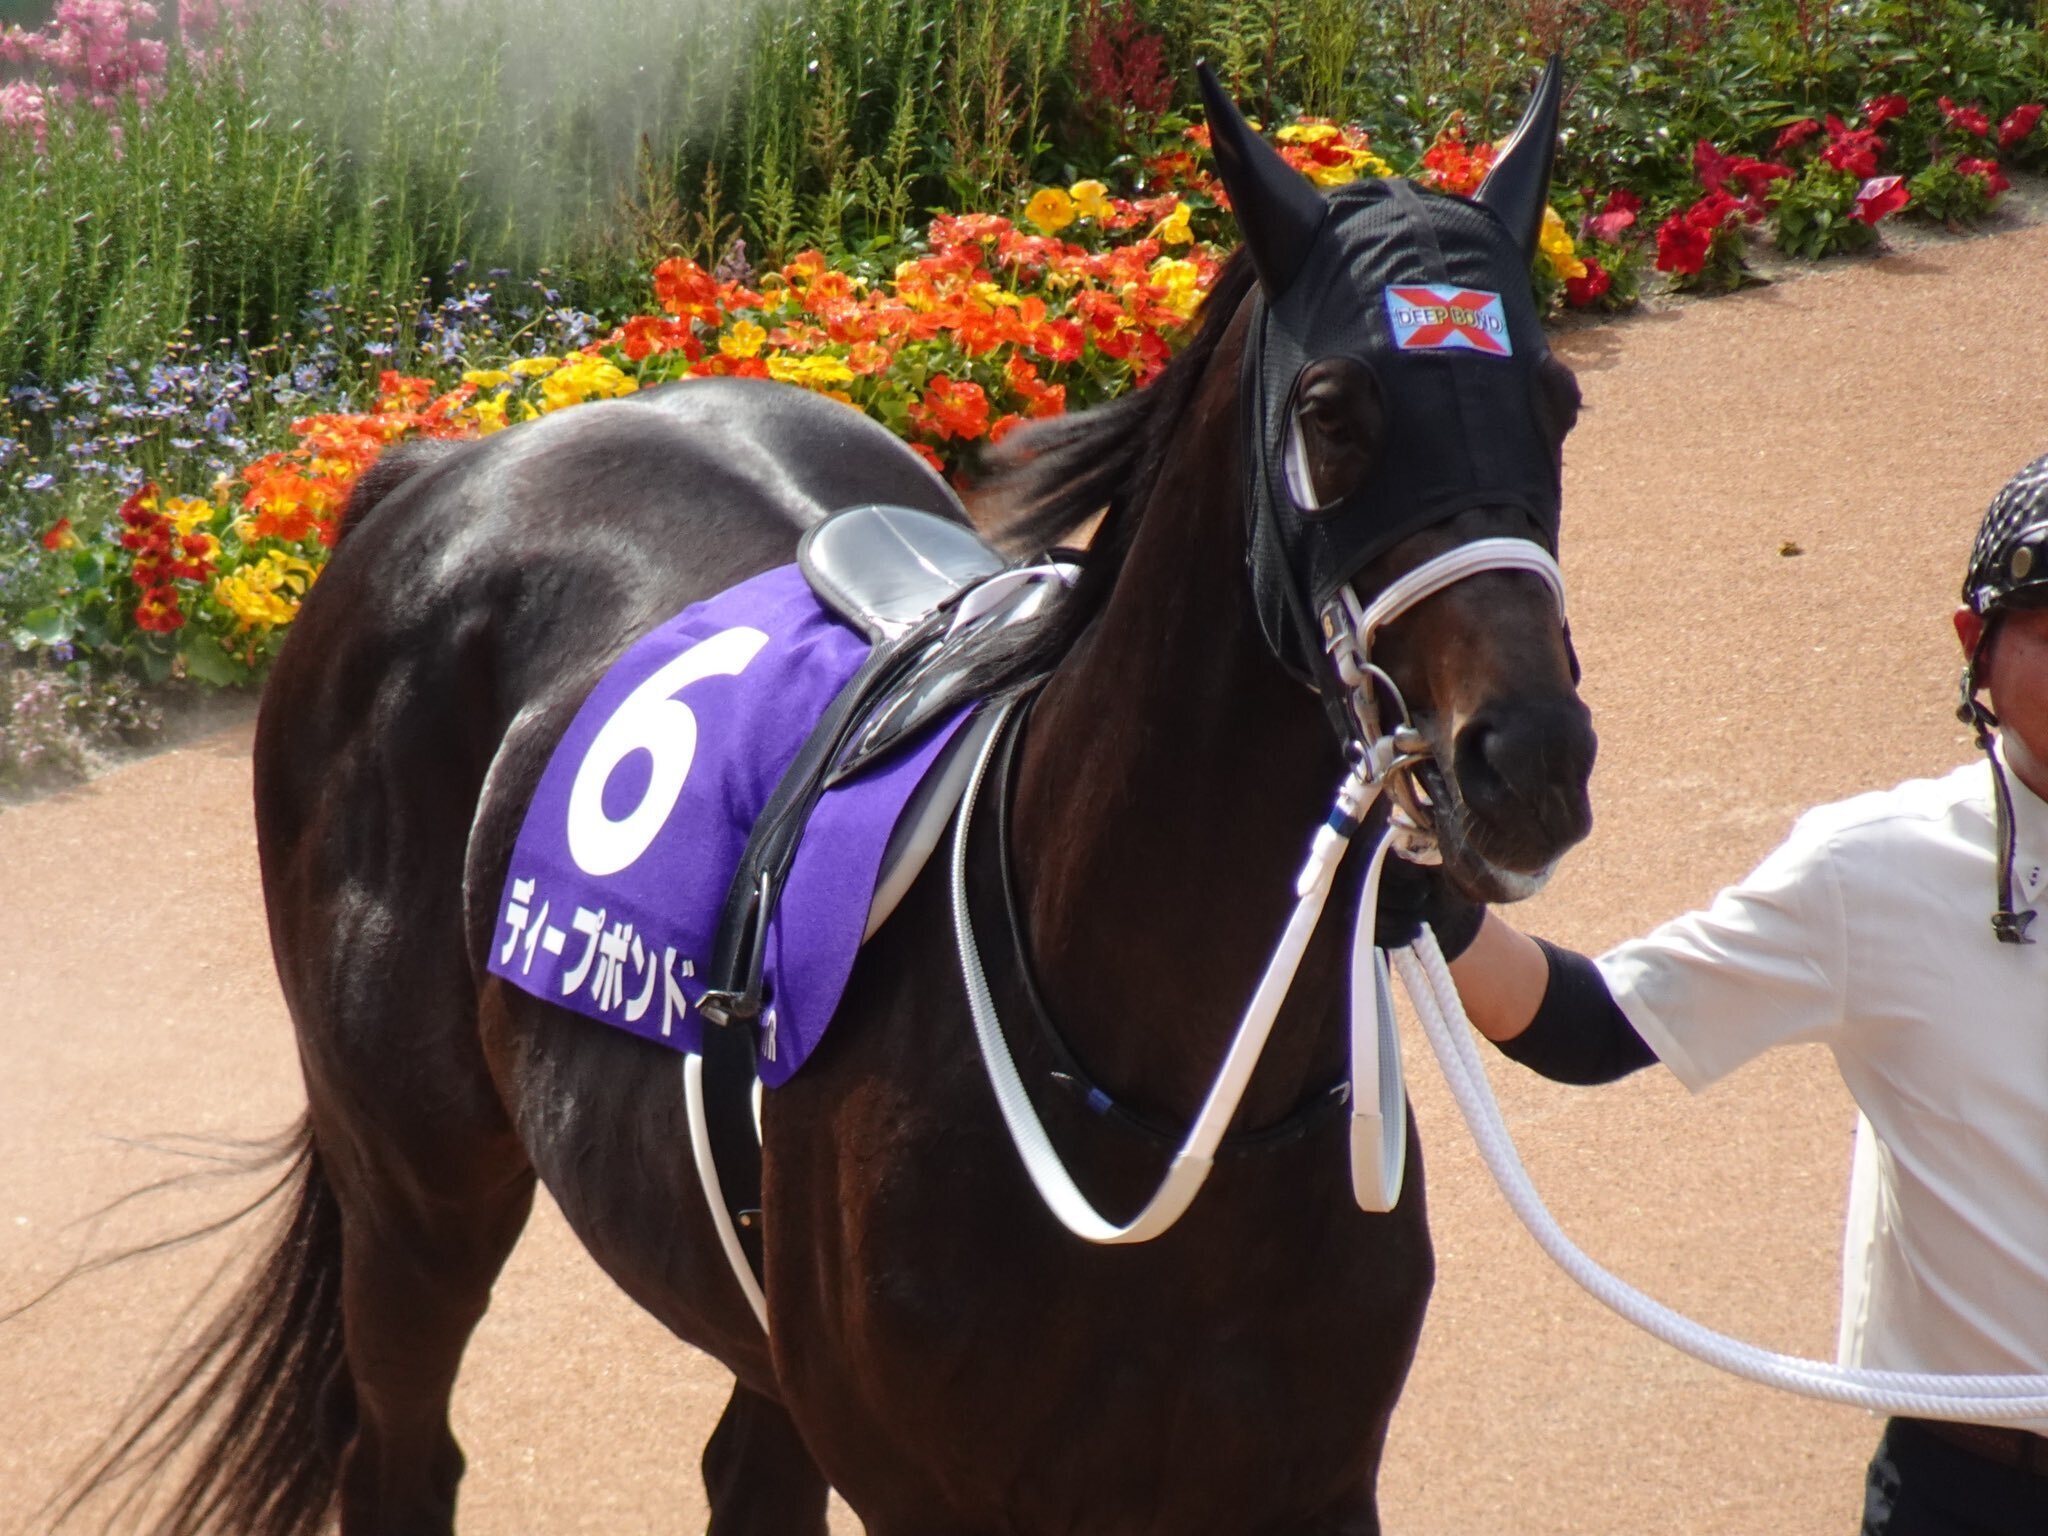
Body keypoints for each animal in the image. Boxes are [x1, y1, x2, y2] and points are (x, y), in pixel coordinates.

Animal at [75, 65, 1595, 1536]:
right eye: (1332, 411)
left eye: (1555, 403)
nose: (1525, 759)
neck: (1152, 1101)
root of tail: (445, 462)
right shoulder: (936, 1493)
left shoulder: (1311, 1482)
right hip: (414, 1196)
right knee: (404, 1456)